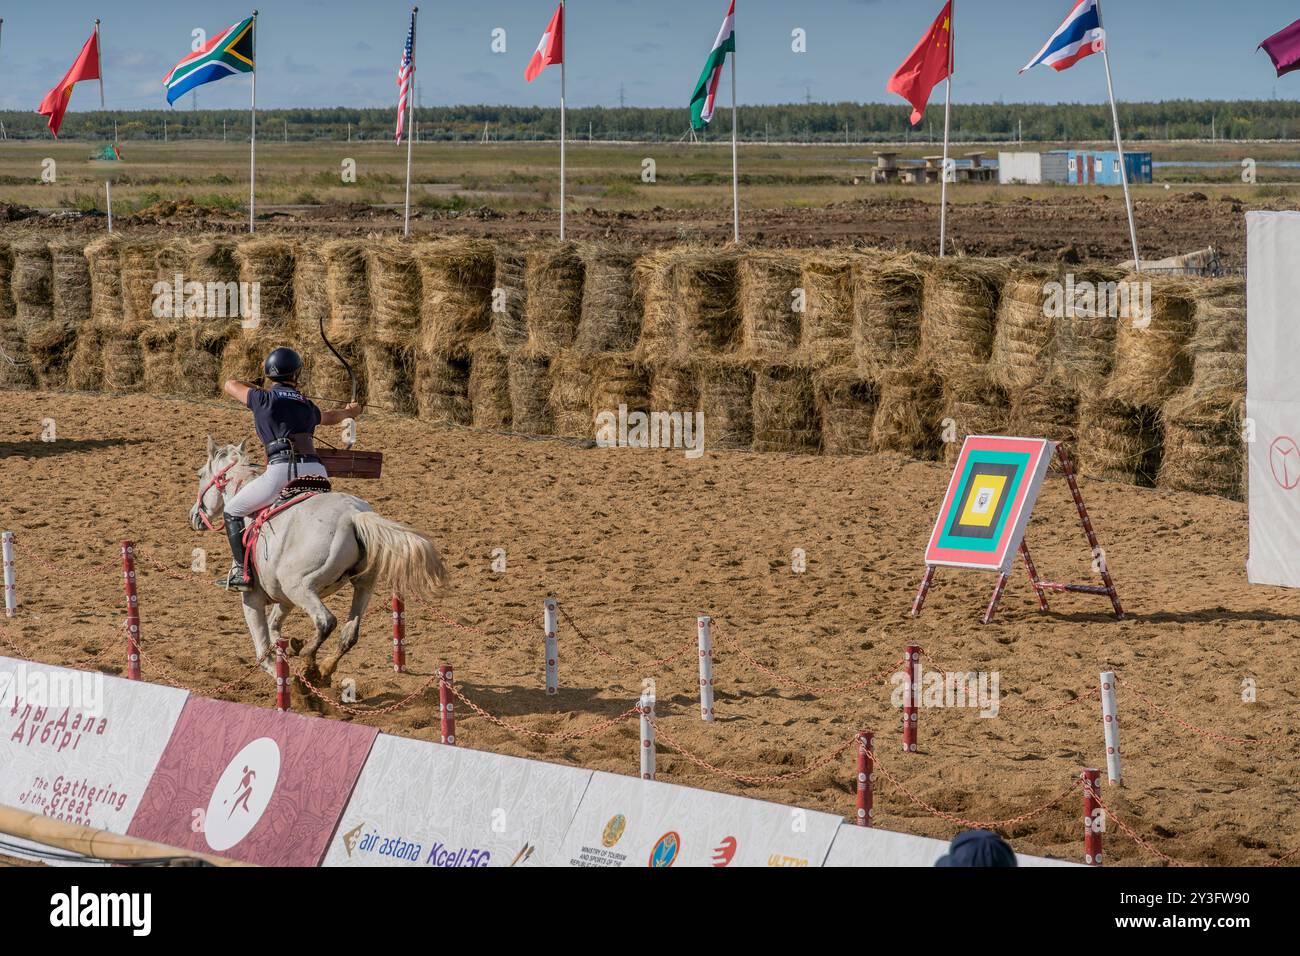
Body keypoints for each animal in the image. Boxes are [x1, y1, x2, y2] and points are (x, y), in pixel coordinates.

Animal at [189, 439, 449, 697]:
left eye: (200, 474)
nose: (194, 516)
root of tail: (353, 515)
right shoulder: (284, 599)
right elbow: (275, 628)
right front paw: (291, 647)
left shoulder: (253, 598)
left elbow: (264, 652)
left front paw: (287, 676)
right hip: (361, 586)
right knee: (349, 633)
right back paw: (323, 668)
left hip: (300, 587)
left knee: (326, 622)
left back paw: (309, 666)